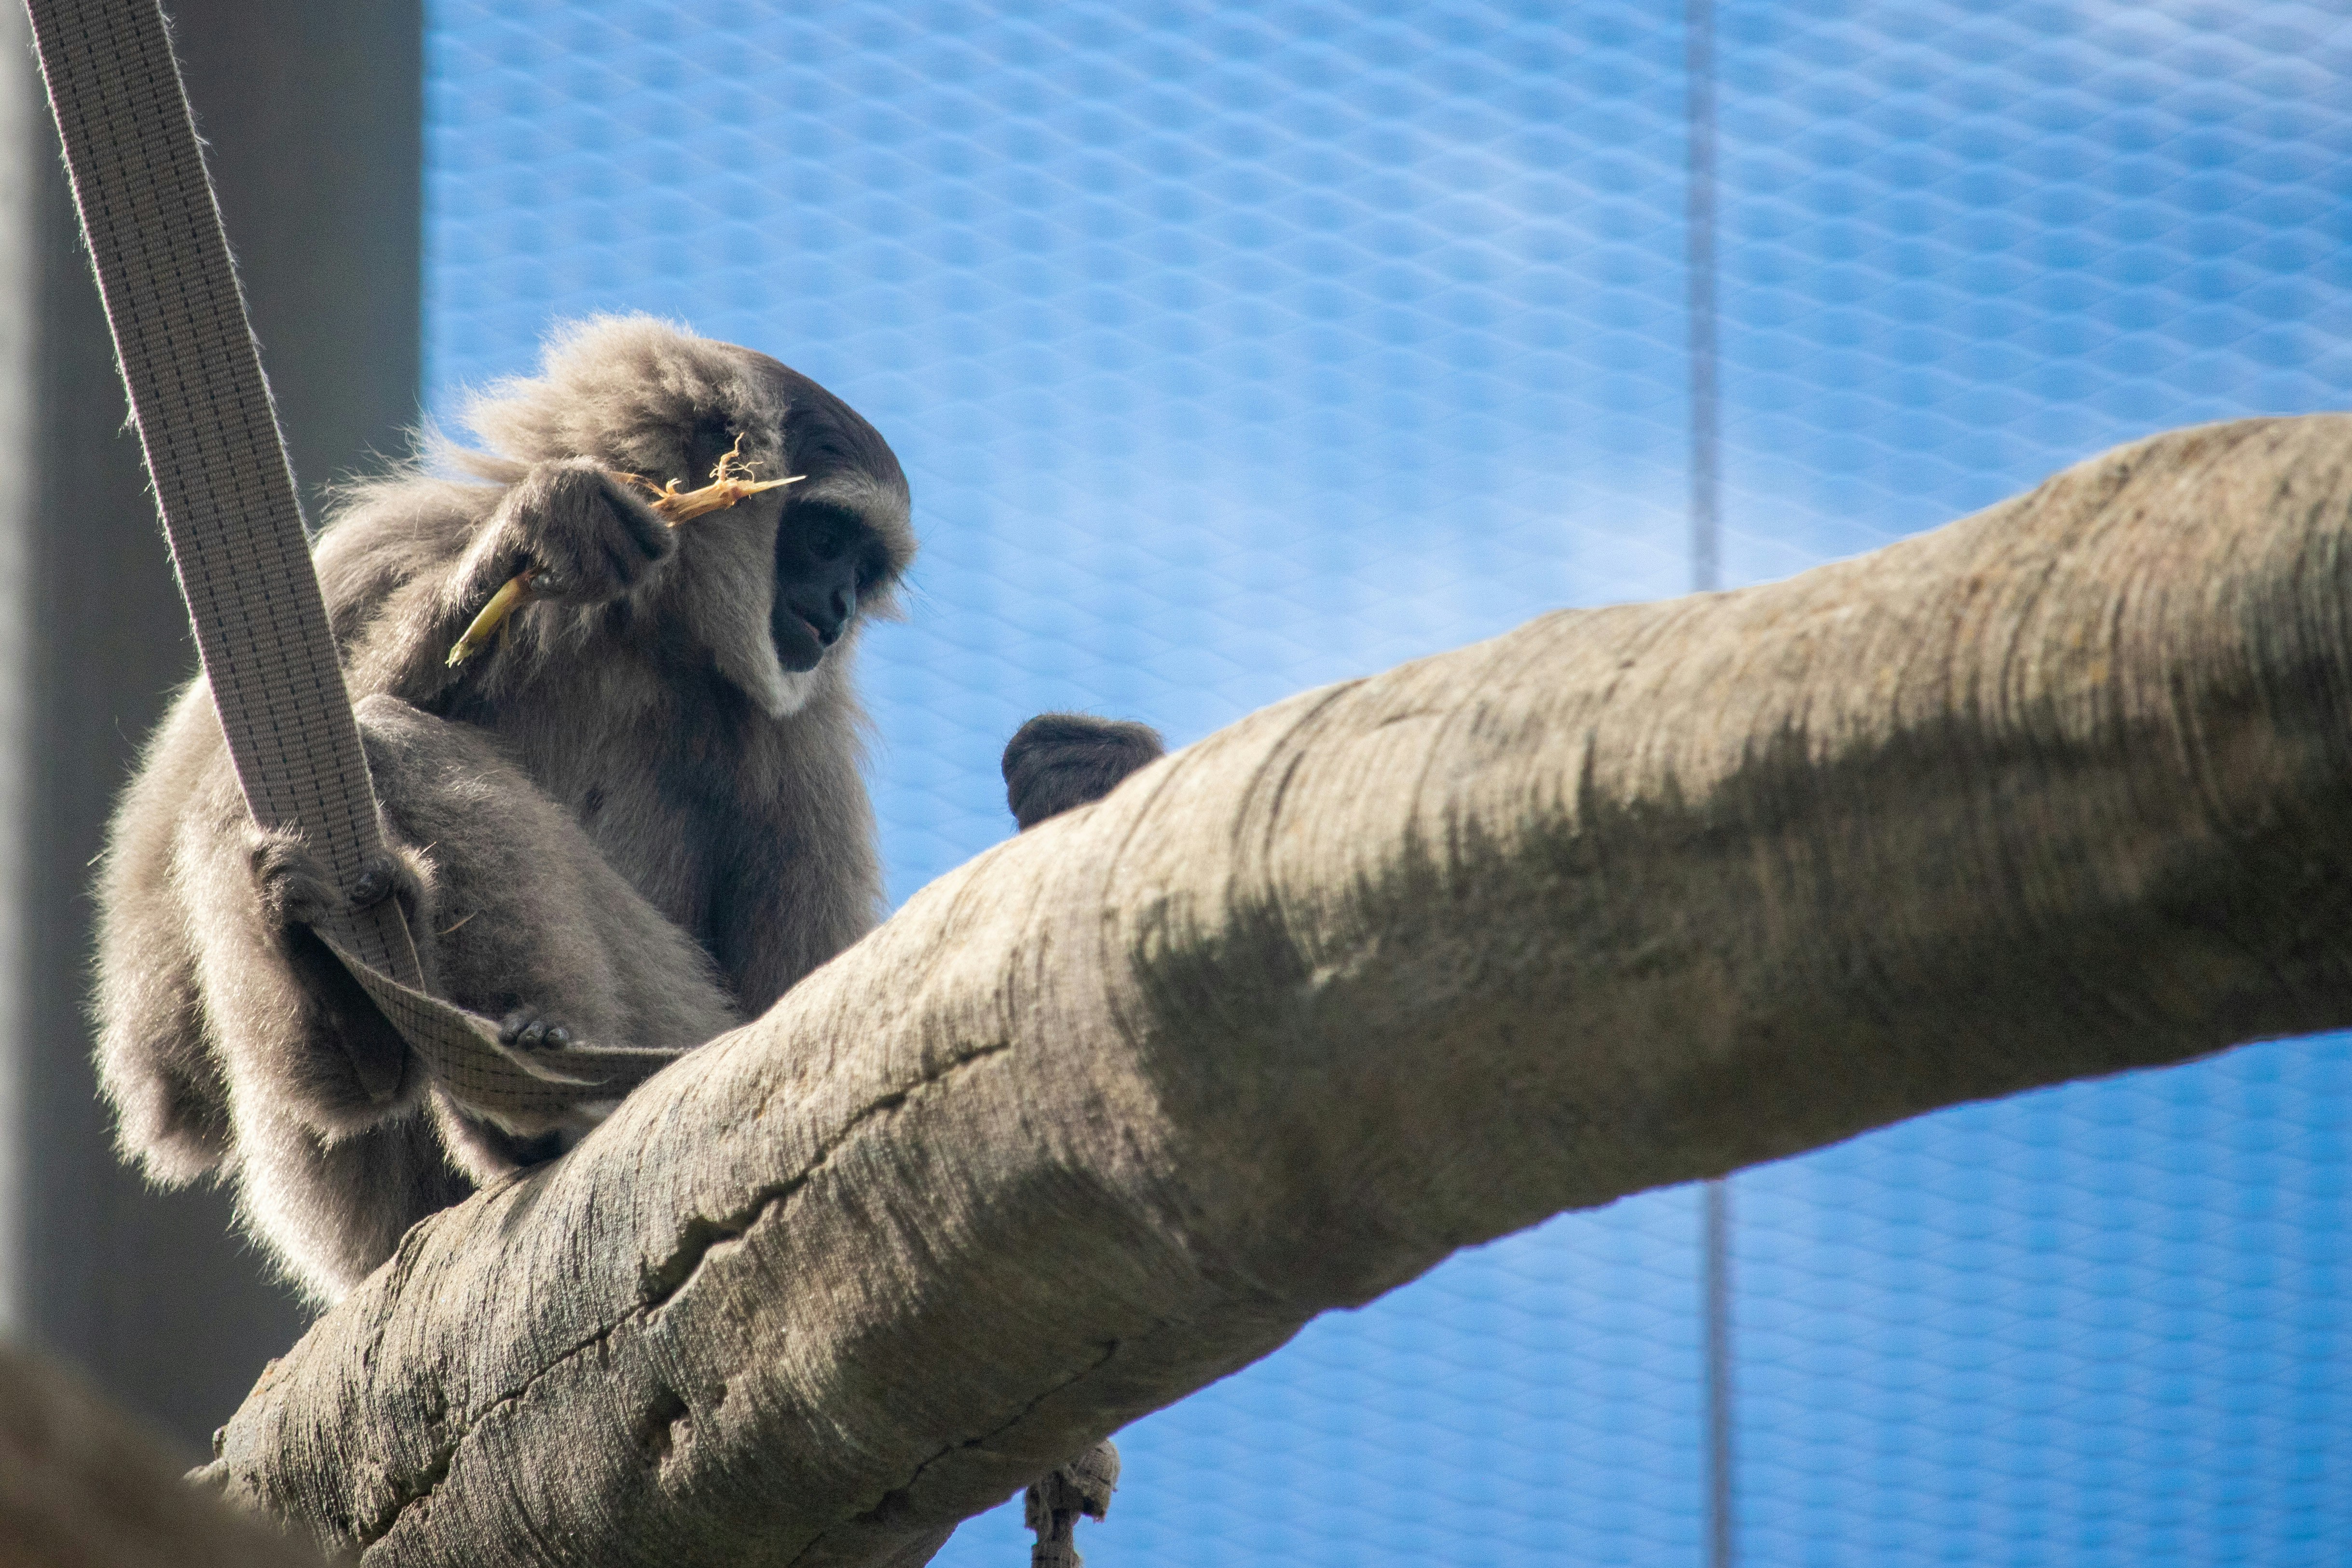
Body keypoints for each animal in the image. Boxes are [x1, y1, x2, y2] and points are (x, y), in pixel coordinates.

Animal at [92, 315, 916, 1302]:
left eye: (860, 568)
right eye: (826, 541)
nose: (837, 606)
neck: (638, 630)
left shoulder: (805, 734)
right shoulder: (381, 545)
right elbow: (163, 1067)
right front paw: (517, 556)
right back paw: (350, 1025)